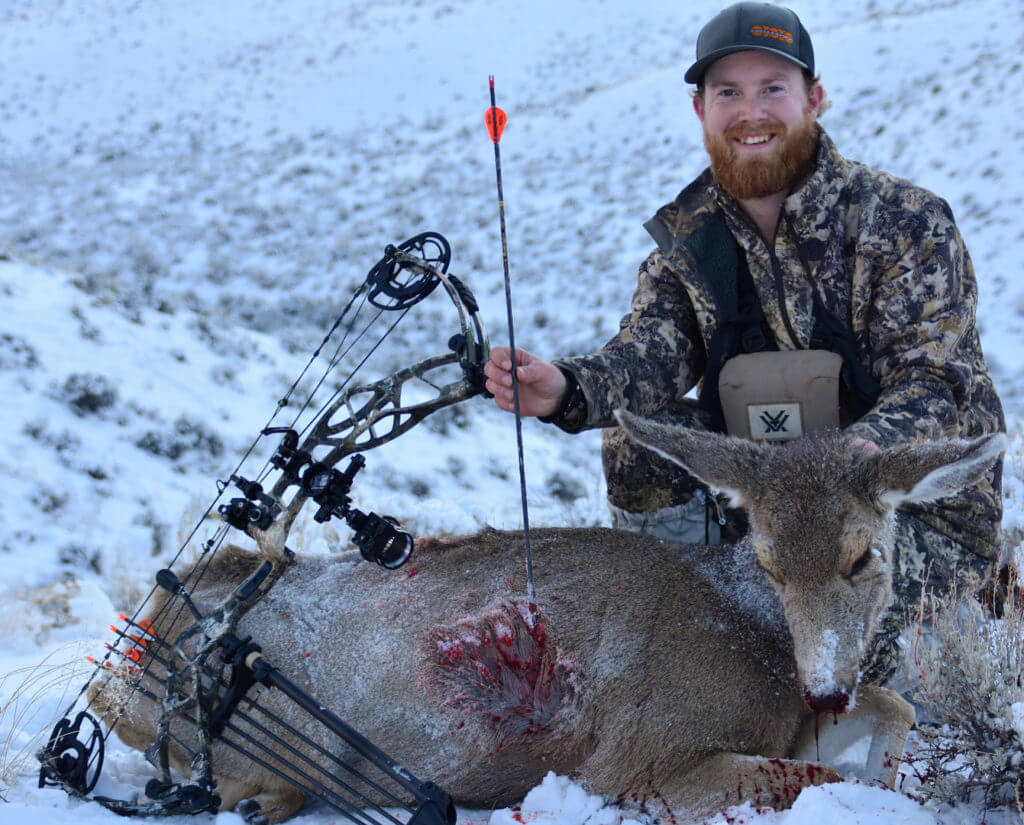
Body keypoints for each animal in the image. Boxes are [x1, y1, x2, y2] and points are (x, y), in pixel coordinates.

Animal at [87, 414, 1006, 823]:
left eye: (863, 556)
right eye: (770, 558)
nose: (823, 684)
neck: (756, 645)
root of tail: (124, 661)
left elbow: (898, 708)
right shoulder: (639, 756)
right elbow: (813, 774)